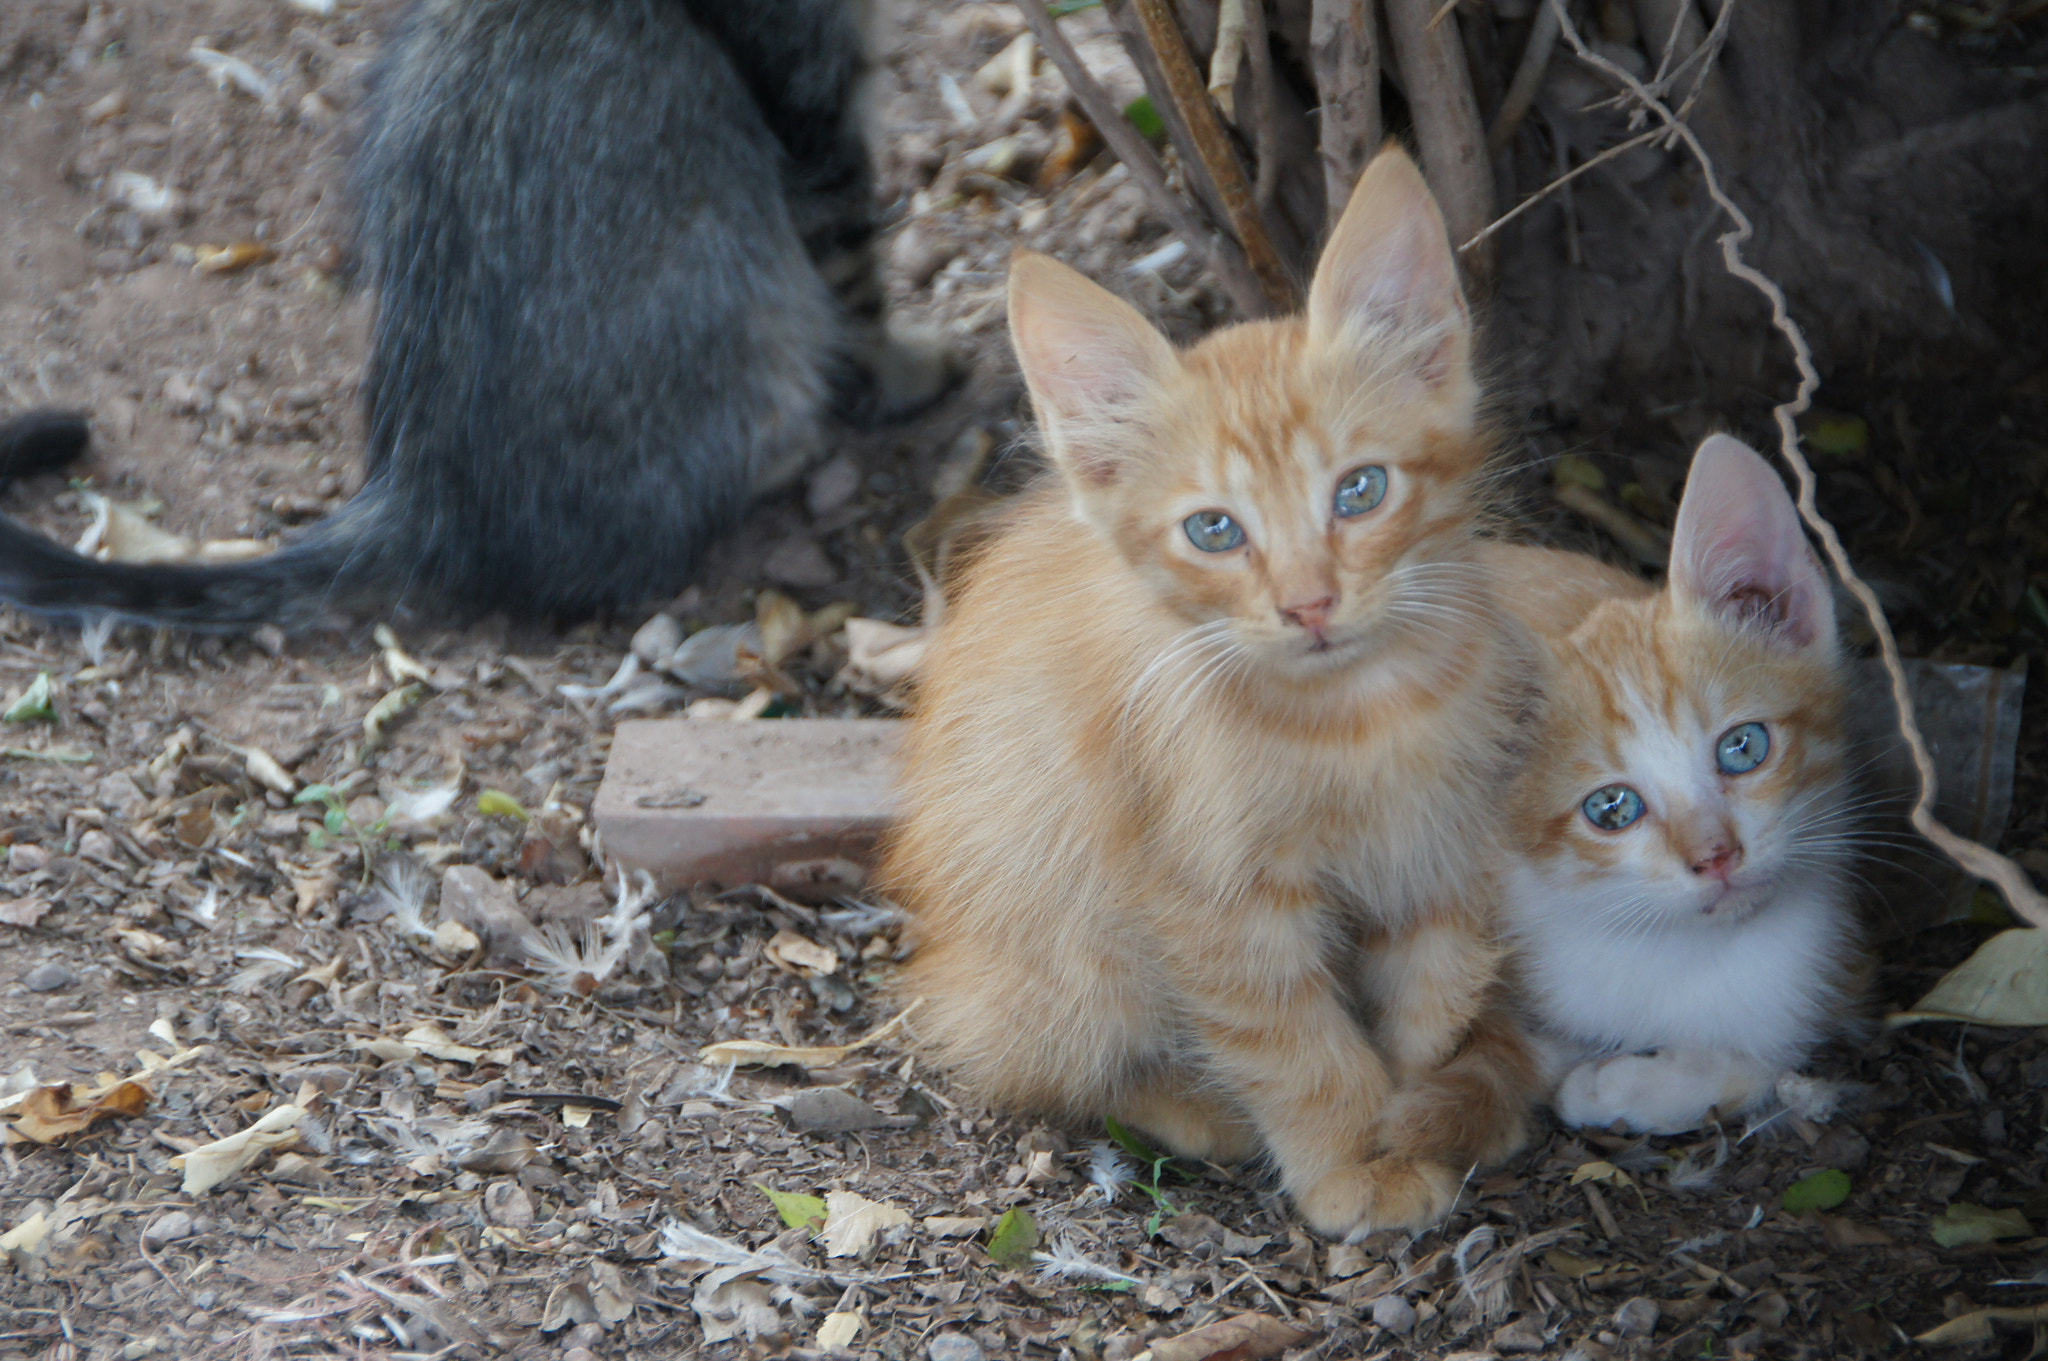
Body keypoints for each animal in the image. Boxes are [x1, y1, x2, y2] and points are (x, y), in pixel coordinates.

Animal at [880, 146, 1540, 1227]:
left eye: (1359, 490)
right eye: (1214, 530)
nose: (1309, 603)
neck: (1353, 713)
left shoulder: (1436, 845)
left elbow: (1429, 994)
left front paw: (1418, 1110)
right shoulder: (1211, 897)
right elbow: (1293, 1040)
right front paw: (1351, 1157)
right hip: (1067, 929)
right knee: (1036, 1056)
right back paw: (1195, 1102)